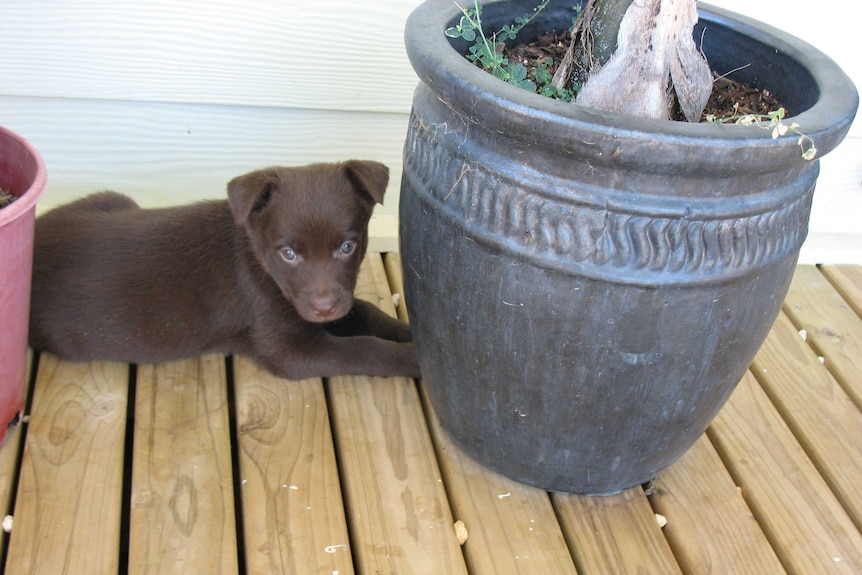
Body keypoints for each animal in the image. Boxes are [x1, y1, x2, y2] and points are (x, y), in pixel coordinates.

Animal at [27, 160, 418, 380]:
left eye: (347, 247)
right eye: (289, 254)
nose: (325, 309)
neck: (260, 262)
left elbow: (369, 314)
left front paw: (412, 336)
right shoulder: (289, 350)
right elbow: (365, 348)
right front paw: (415, 361)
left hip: (113, 200)